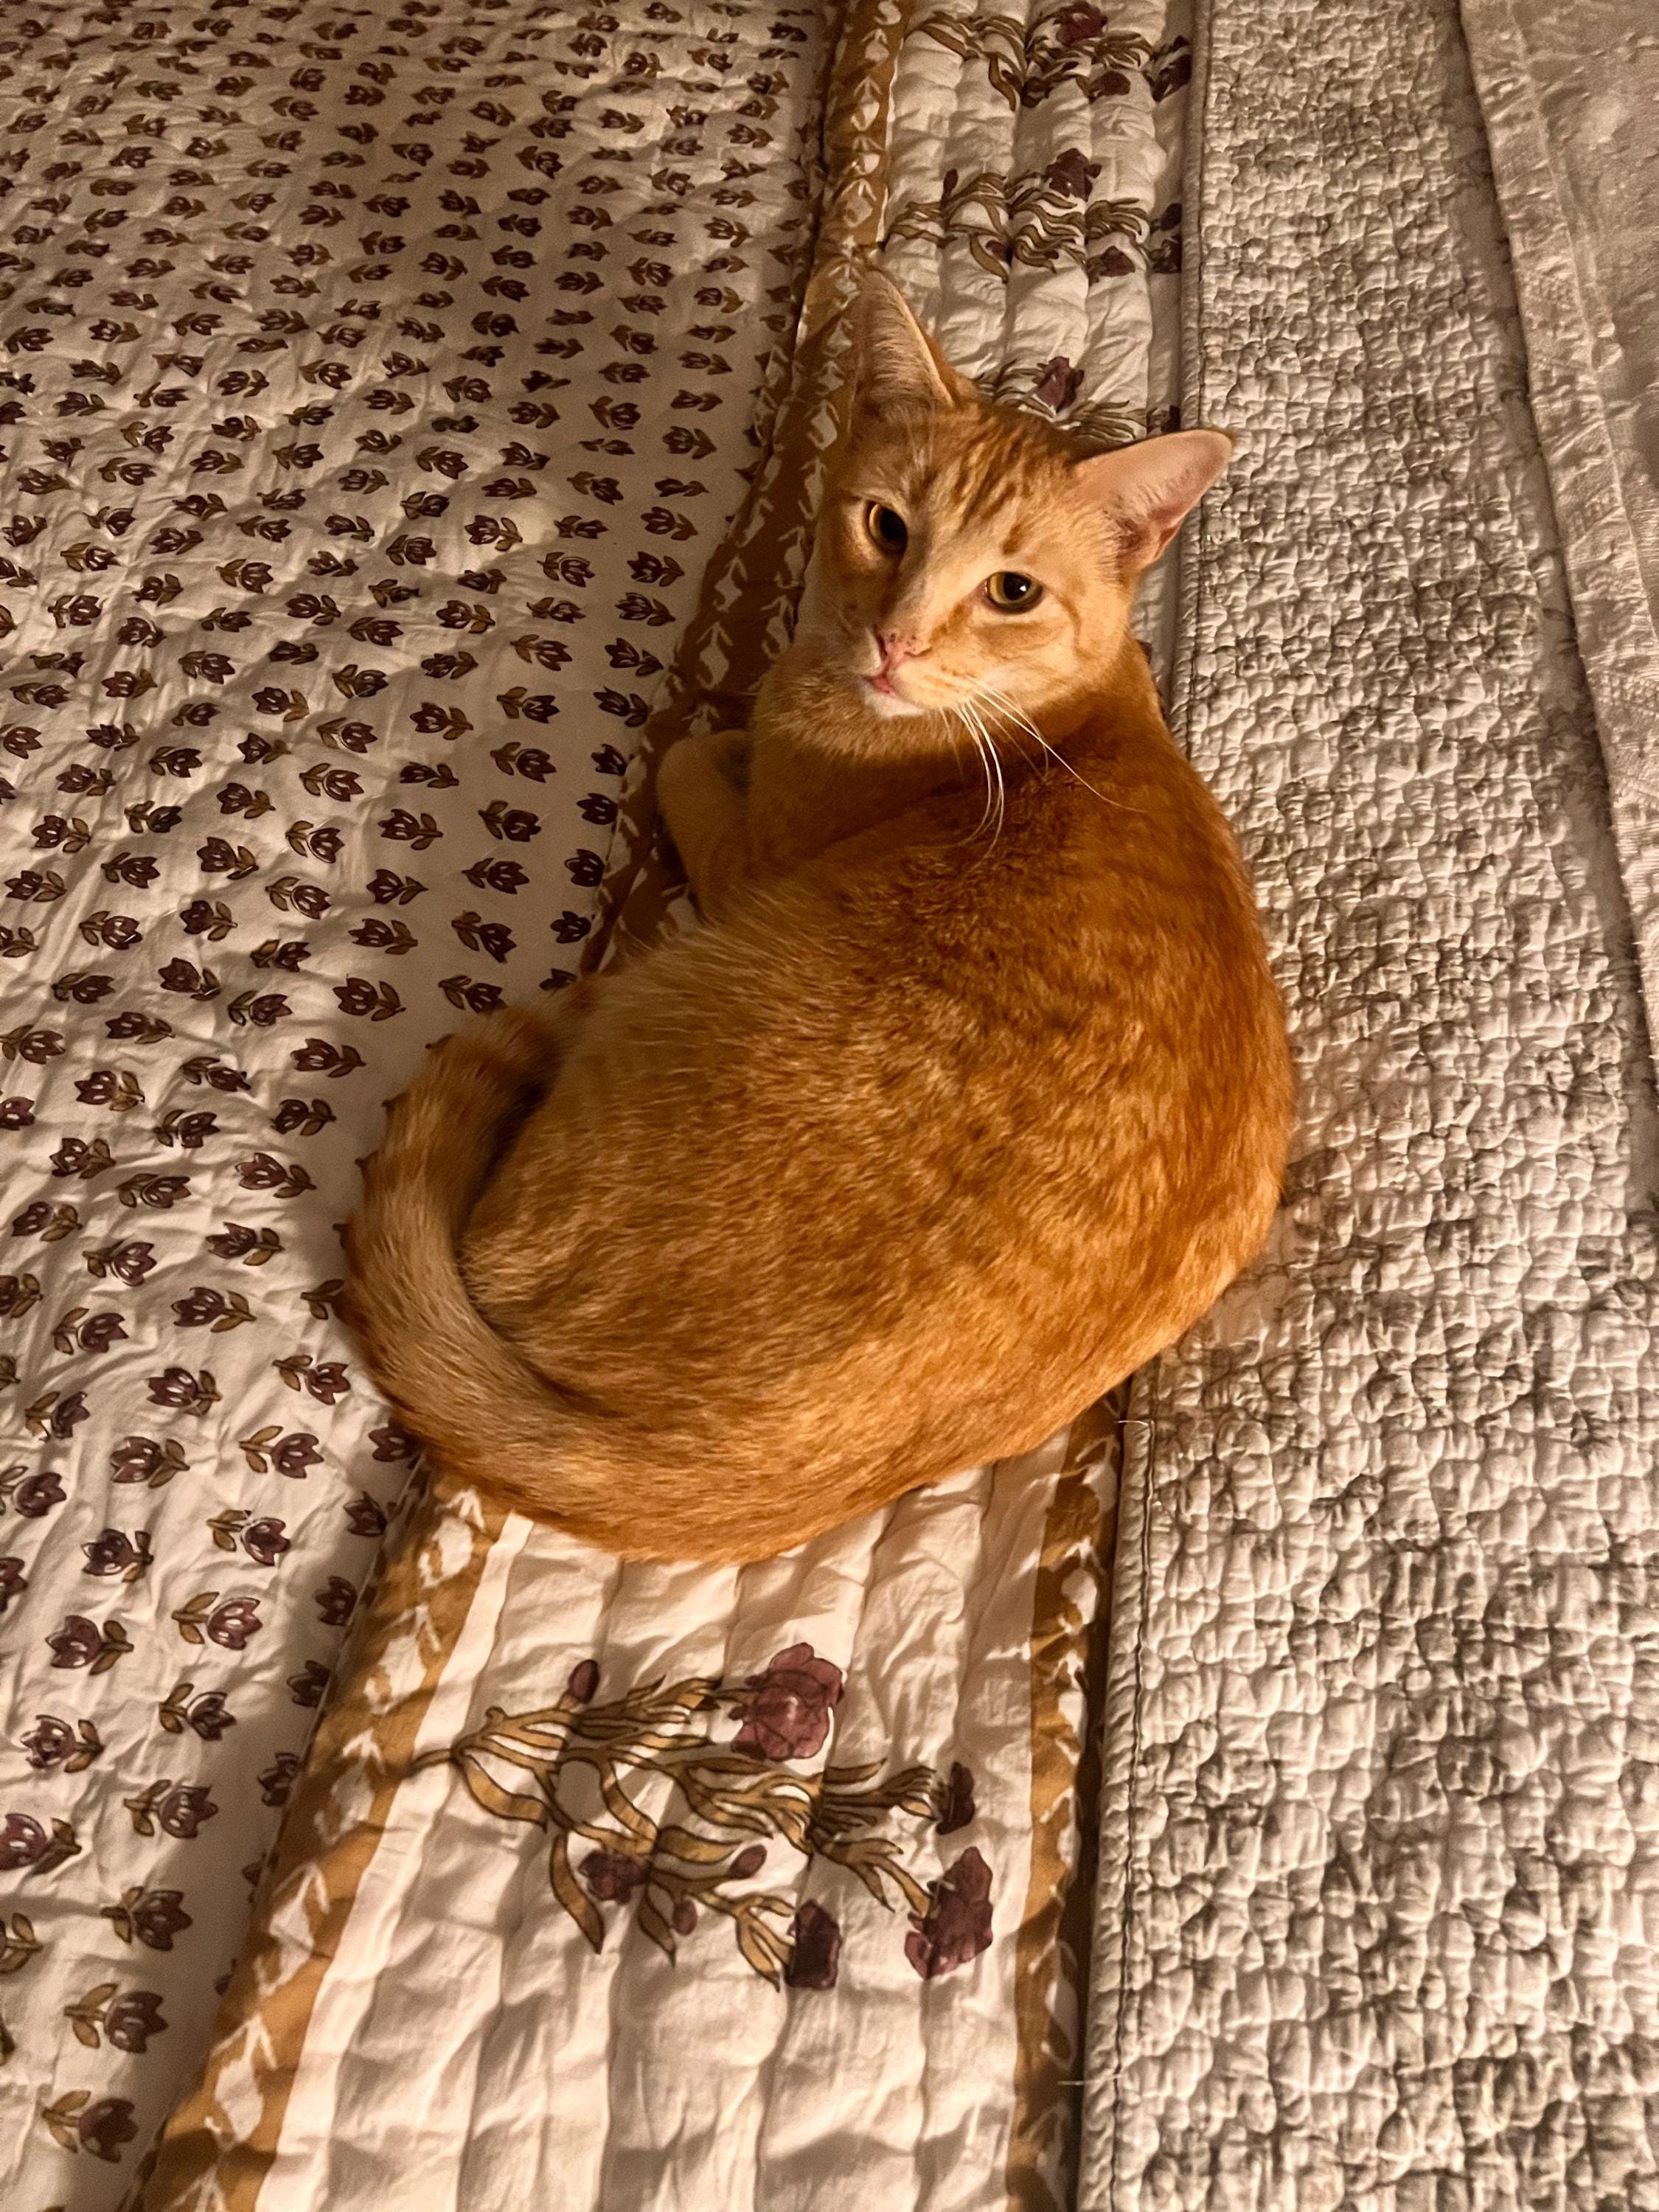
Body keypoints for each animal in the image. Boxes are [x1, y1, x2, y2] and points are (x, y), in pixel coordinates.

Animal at [344, 272, 1294, 1562]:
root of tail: (698, 1471)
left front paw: (715, 712)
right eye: (886, 526)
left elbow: (691, 745)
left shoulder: (747, 844)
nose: (894, 639)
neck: (1048, 727)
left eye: (1010, 591)